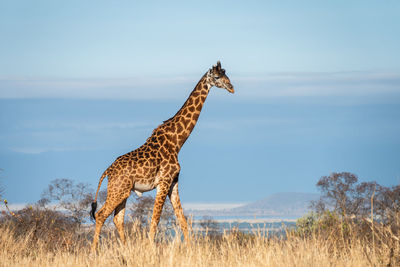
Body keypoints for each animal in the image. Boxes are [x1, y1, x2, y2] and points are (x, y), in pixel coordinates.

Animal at [90, 61, 234, 251]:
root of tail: (107, 171)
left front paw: (190, 250)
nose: (232, 87)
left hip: (123, 191)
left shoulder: (174, 182)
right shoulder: (163, 182)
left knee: (117, 218)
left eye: (227, 75)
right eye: (217, 77)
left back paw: (125, 249)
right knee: (101, 215)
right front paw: (150, 250)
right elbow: (155, 220)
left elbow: (182, 220)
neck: (177, 141)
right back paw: (94, 251)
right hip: (118, 191)